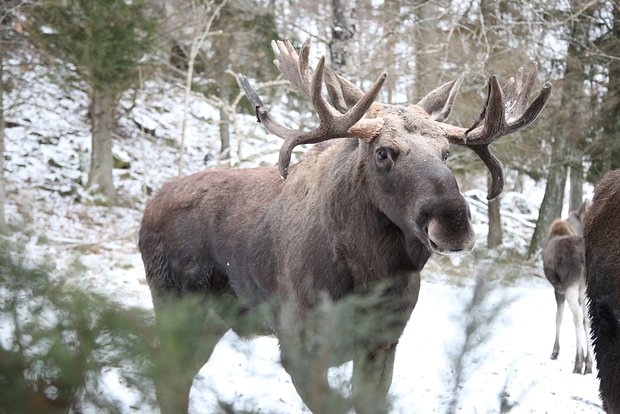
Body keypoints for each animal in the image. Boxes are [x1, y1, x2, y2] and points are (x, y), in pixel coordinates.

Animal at [137, 37, 552, 412]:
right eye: (383, 152)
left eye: (446, 153)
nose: (452, 223)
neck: (372, 273)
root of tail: (148, 209)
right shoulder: (300, 348)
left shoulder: (382, 344)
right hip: (176, 304)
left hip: (210, 320)